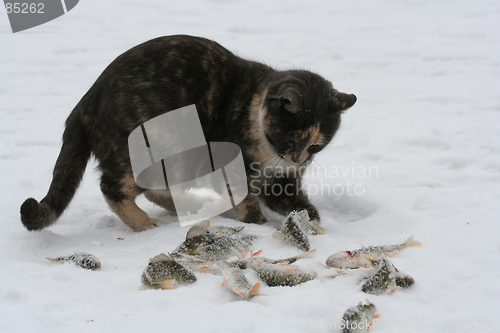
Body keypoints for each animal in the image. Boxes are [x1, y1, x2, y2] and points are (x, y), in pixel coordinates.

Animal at [19, 34, 356, 231]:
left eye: (316, 147)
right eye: (291, 138)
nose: (299, 160)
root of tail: (85, 103)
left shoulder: (281, 182)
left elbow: (295, 202)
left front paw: (311, 222)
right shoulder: (232, 171)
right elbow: (247, 203)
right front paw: (259, 226)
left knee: (152, 189)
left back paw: (191, 207)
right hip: (152, 146)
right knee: (111, 188)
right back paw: (146, 224)